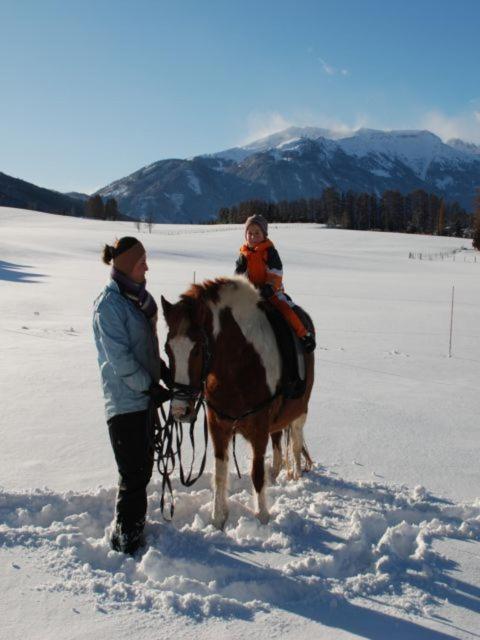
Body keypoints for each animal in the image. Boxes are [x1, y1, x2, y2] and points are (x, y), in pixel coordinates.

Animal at [161, 278, 316, 528]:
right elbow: (220, 473)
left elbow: (256, 474)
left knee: (295, 442)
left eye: (198, 349)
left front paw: (262, 517)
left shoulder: (259, 428)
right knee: (278, 442)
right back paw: (276, 475)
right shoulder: (218, 426)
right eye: (167, 348)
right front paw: (218, 519)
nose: (179, 410)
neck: (239, 363)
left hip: (300, 411)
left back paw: (297, 476)